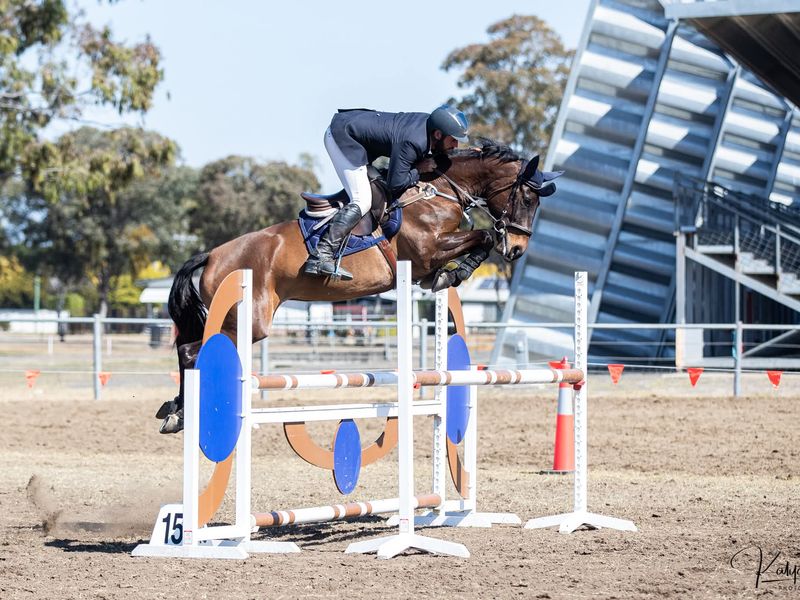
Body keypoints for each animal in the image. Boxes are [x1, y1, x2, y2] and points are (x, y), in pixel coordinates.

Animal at [158, 141, 562, 433]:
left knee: (185, 347)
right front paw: (455, 272)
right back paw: (184, 414)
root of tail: (213, 255)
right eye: (527, 198)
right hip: (248, 321)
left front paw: (451, 275)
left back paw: (175, 411)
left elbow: (479, 240)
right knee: (192, 351)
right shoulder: (427, 251)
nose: (517, 249)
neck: (437, 191)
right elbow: (483, 236)